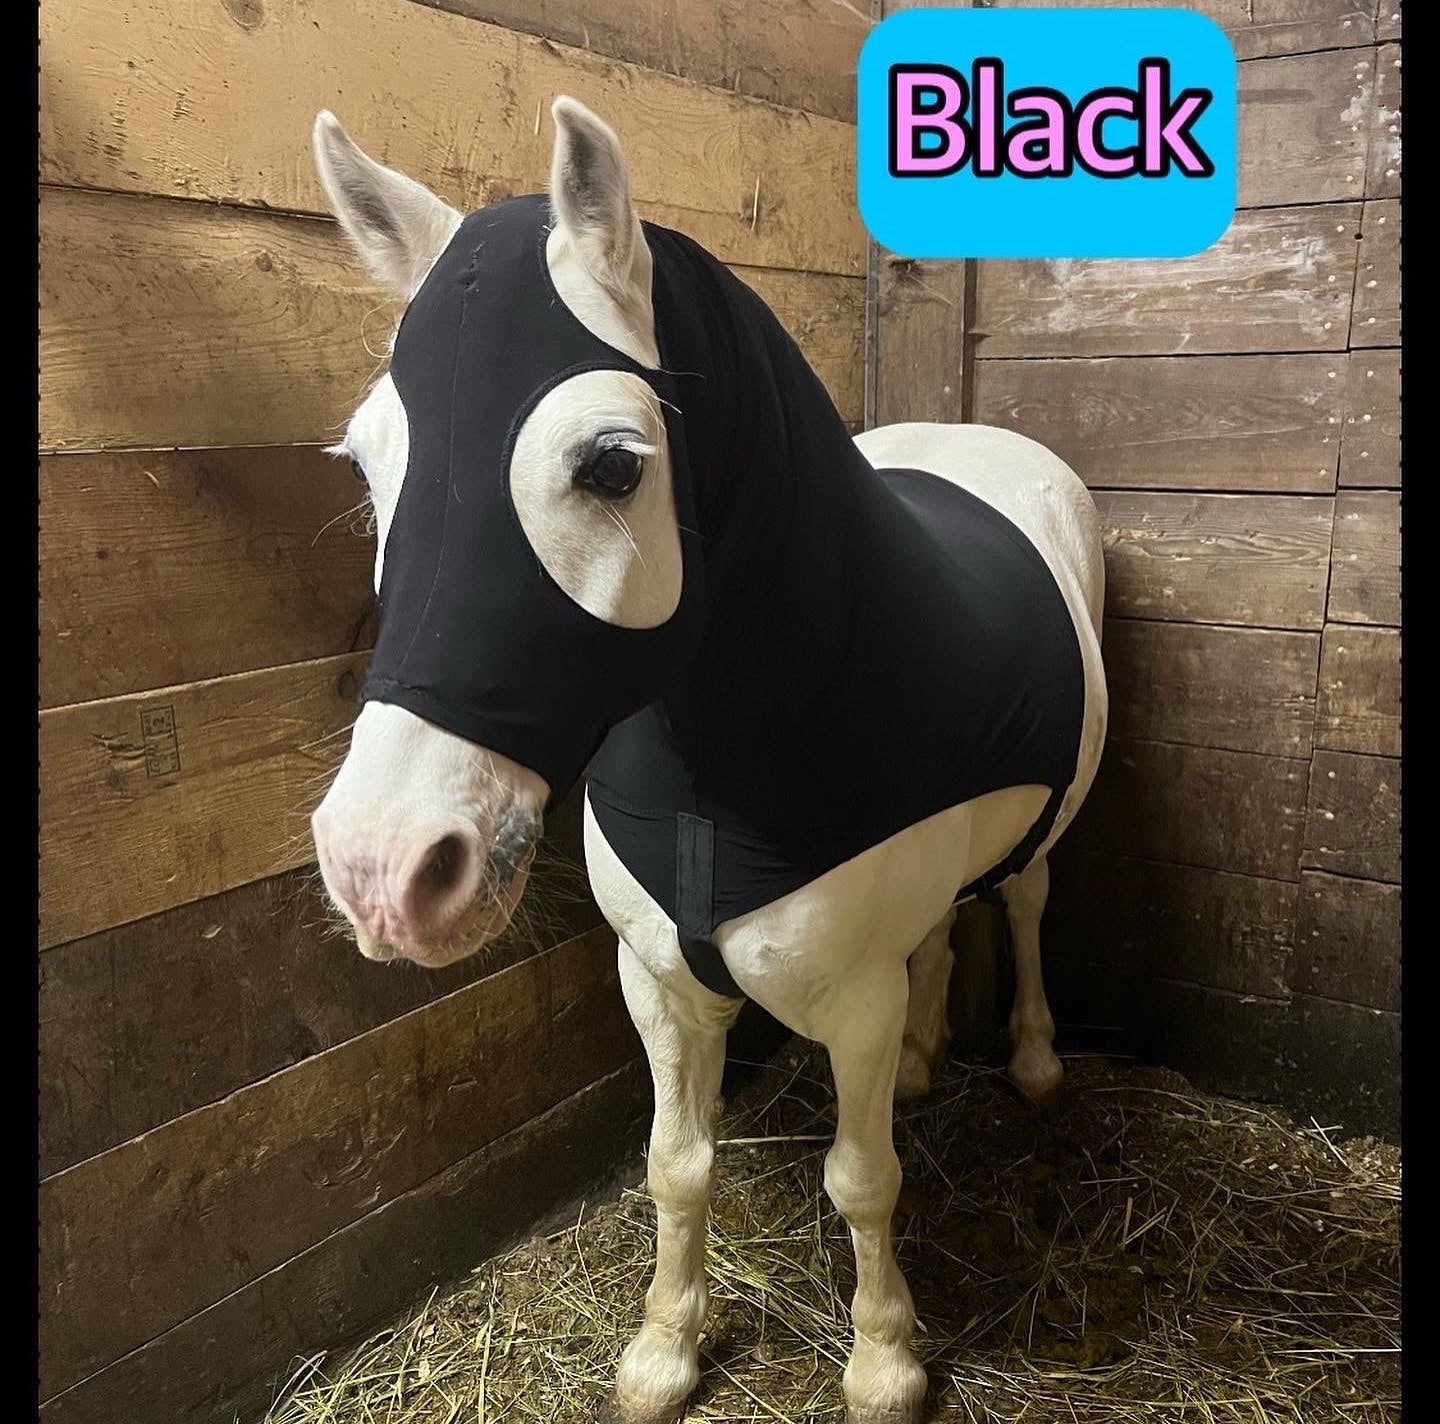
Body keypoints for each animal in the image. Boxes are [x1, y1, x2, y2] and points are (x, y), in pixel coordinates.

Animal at [306, 94, 1107, 1424]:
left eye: (613, 462)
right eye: (369, 463)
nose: (380, 867)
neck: (719, 772)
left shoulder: (853, 999)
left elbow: (863, 1177)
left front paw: (885, 1360)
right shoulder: (660, 982)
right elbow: (677, 1165)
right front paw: (663, 1347)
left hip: (1049, 838)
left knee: (1032, 900)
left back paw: (1038, 1059)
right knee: (944, 928)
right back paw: (931, 1059)